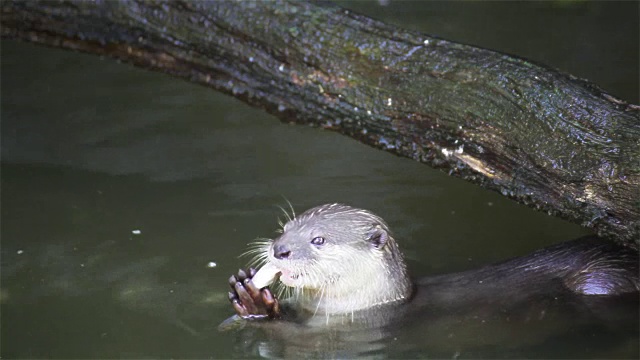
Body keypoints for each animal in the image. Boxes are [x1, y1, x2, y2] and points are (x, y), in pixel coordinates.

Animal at [224, 204, 636, 324]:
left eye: (319, 240)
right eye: (285, 229)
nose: (280, 249)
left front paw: (254, 299)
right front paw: (250, 298)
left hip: (598, 279)